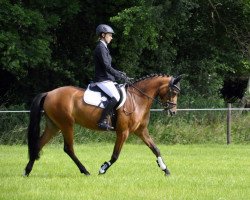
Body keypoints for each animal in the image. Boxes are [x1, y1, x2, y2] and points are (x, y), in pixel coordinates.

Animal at [23, 74, 181, 177]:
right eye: (173, 92)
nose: (173, 112)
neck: (137, 99)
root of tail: (49, 93)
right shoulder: (123, 132)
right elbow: (115, 155)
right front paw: (102, 169)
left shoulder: (141, 131)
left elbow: (155, 149)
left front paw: (165, 170)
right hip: (66, 125)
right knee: (68, 148)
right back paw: (85, 171)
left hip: (54, 126)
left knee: (38, 144)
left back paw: (27, 171)